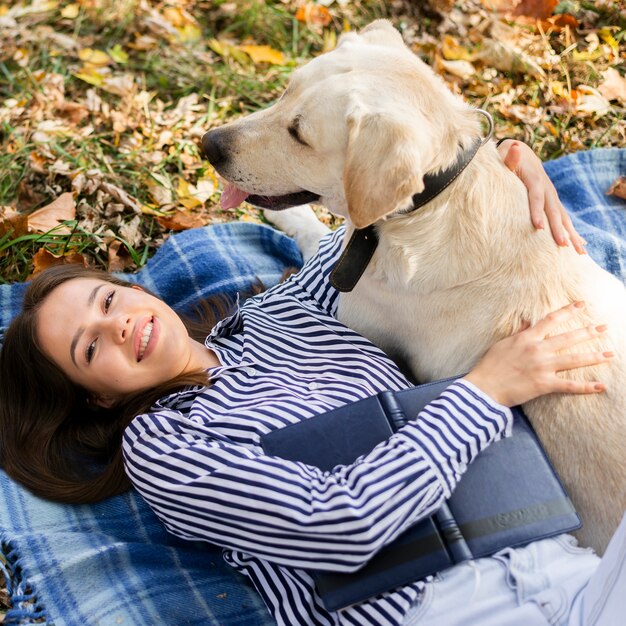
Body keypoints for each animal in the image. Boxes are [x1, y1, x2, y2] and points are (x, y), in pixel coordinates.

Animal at [202, 19, 620, 552]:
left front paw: (287, 218)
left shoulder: (352, 306)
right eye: (284, 91)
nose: (208, 145)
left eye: (300, 134)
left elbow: (319, 239)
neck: (437, 200)